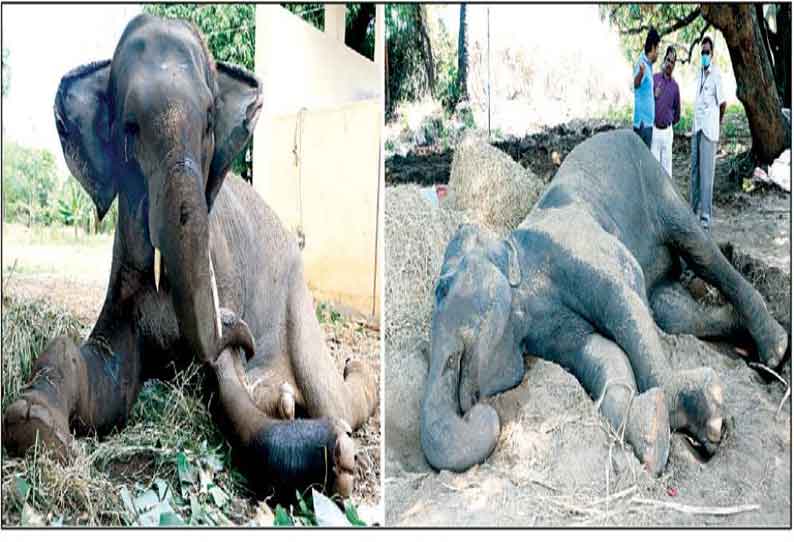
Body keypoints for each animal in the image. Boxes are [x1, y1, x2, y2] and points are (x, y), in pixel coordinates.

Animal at [0, 14, 378, 500]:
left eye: (210, 120)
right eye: (129, 127)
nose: (240, 330)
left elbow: (233, 398)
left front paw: (341, 459)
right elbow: (106, 381)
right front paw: (34, 426)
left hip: (297, 294)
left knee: (331, 394)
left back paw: (349, 373)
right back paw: (283, 401)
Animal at [420, 130, 784, 478]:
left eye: (442, 288)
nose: (482, 413)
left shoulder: (579, 250)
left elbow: (624, 302)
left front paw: (702, 419)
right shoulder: (545, 329)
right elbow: (601, 352)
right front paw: (651, 437)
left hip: (659, 185)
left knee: (701, 251)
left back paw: (775, 351)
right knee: (675, 313)